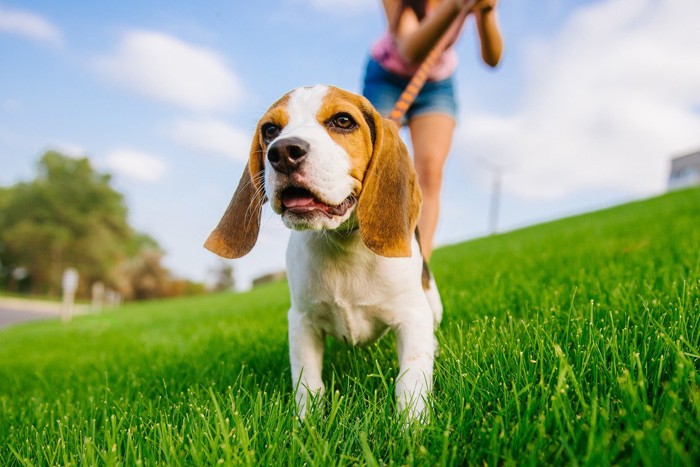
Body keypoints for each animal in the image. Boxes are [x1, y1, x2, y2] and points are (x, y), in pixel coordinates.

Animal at [205, 86, 440, 422]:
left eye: (343, 121)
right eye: (270, 130)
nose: (283, 152)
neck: (341, 242)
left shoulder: (412, 316)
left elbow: (411, 378)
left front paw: (413, 426)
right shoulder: (301, 321)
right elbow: (308, 382)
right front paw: (306, 424)